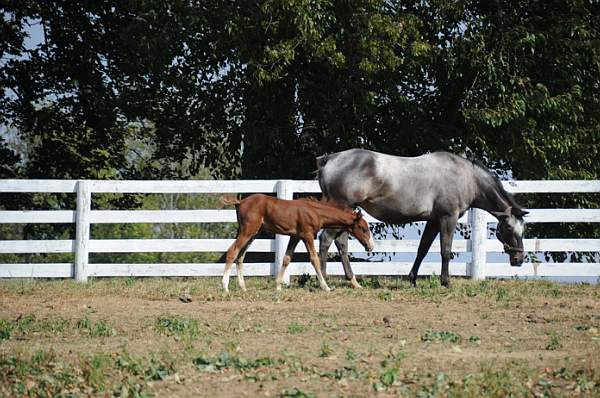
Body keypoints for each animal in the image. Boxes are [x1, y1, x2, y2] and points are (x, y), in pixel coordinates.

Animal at [220, 195, 372, 292]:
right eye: (363, 228)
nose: (370, 246)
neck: (315, 211)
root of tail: (240, 202)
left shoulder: (295, 237)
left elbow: (287, 258)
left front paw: (278, 286)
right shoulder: (307, 235)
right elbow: (314, 259)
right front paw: (325, 287)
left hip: (252, 233)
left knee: (240, 256)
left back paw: (243, 287)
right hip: (248, 230)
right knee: (232, 251)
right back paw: (225, 286)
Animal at [316, 148, 528, 288]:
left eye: (523, 229)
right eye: (508, 228)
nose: (519, 258)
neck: (466, 177)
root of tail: (331, 159)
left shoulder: (433, 221)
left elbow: (423, 249)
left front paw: (412, 279)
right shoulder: (448, 218)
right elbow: (445, 250)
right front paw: (446, 282)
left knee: (341, 243)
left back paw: (353, 281)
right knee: (326, 239)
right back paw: (324, 281)